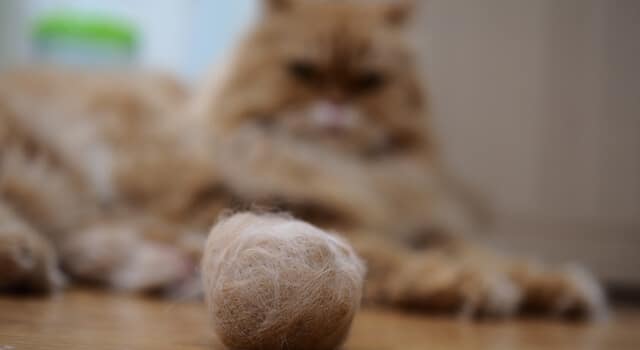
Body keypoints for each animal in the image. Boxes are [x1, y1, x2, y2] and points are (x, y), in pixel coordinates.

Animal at [0, 0, 604, 318]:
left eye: (369, 82)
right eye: (303, 71)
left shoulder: (421, 221)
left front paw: (559, 287)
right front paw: (471, 285)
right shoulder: (293, 210)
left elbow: (493, 253)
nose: (336, 106)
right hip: (41, 173)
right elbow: (399, 259)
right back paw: (30, 259)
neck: (348, 171)